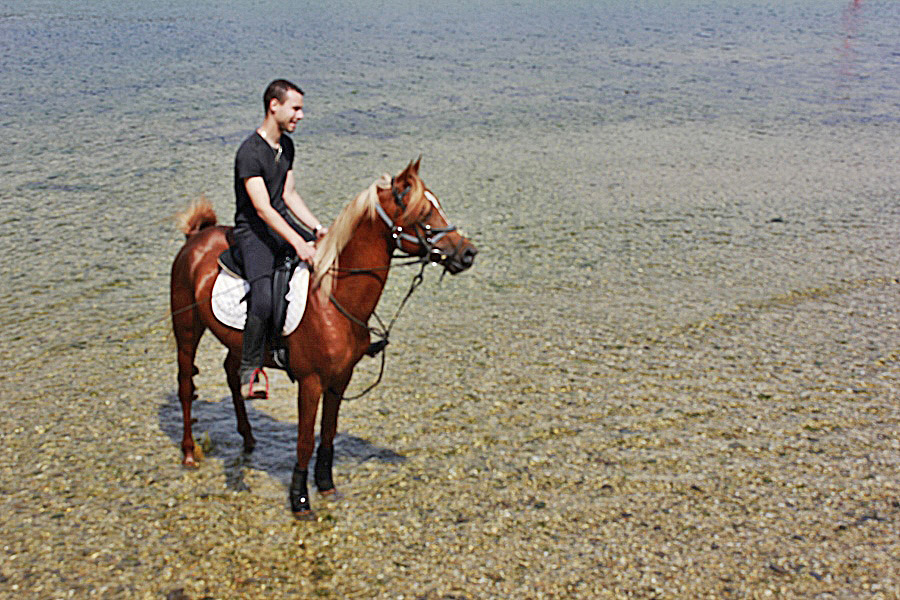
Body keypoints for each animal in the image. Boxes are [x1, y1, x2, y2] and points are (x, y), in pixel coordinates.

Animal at [171, 159, 478, 516]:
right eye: (425, 212)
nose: (468, 253)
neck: (333, 297)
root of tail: (197, 236)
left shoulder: (340, 379)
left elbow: (328, 433)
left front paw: (326, 485)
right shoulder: (311, 382)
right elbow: (305, 441)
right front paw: (300, 499)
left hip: (236, 341)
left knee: (234, 375)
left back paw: (248, 439)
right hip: (187, 329)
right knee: (185, 387)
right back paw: (189, 453)